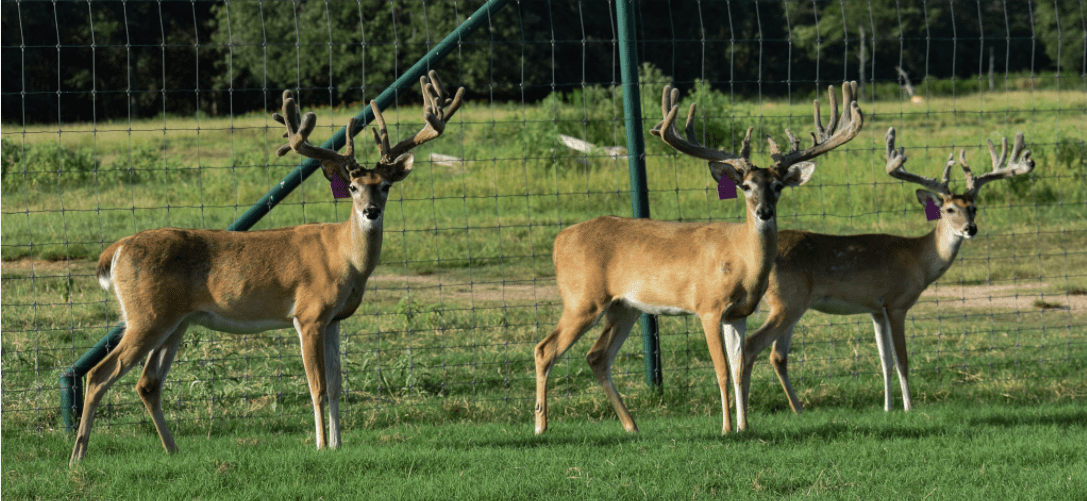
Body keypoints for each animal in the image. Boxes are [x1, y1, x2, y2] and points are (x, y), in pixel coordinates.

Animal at [69, 71, 465, 467]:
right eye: (352, 187)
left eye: (384, 186)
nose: (371, 211)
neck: (345, 258)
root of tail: (116, 250)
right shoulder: (309, 314)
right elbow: (318, 387)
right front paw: (321, 445)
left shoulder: (335, 319)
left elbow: (338, 386)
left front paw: (339, 444)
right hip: (146, 315)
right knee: (98, 374)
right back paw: (78, 456)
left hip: (175, 321)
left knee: (147, 383)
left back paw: (173, 450)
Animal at [533, 82, 864, 435]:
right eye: (746, 186)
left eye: (777, 186)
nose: (764, 212)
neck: (742, 260)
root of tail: (558, 241)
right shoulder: (708, 306)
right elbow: (721, 370)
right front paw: (726, 428)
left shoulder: (739, 313)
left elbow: (740, 367)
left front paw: (745, 426)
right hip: (582, 299)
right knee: (545, 349)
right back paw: (541, 426)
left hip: (624, 307)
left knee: (597, 356)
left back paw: (631, 426)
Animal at [738, 127, 1035, 419]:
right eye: (950, 209)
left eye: (973, 208)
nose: (970, 229)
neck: (918, 259)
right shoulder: (896, 303)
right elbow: (902, 360)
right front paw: (909, 407)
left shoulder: (875, 309)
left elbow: (885, 361)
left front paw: (888, 407)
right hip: (788, 301)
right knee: (752, 345)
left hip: (791, 304)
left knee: (777, 355)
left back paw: (797, 409)